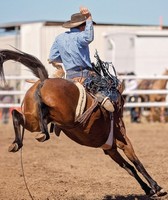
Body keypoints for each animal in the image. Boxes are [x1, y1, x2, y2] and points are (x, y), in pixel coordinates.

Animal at [0, 49, 166, 198]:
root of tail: (44, 81)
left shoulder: (110, 148)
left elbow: (129, 167)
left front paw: (148, 189)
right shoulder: (123, 140)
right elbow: (137, 163)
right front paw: (156, 188)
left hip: (33, 119)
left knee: (17, 115)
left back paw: (17, 142)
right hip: (63, 116)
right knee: (40, 114)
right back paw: (43, 133)